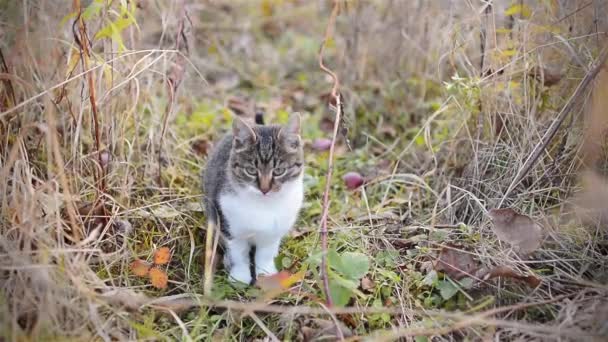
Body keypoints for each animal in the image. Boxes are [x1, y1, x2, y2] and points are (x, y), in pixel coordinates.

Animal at [203, 113, 304, 284]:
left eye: (279, 171)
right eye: (251, 170)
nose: (264, 189)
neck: (263, 205)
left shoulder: (273, 232)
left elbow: (265, 253)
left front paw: (266, 274)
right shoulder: (229, 225)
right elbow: (238, 252)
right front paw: (240, 276)